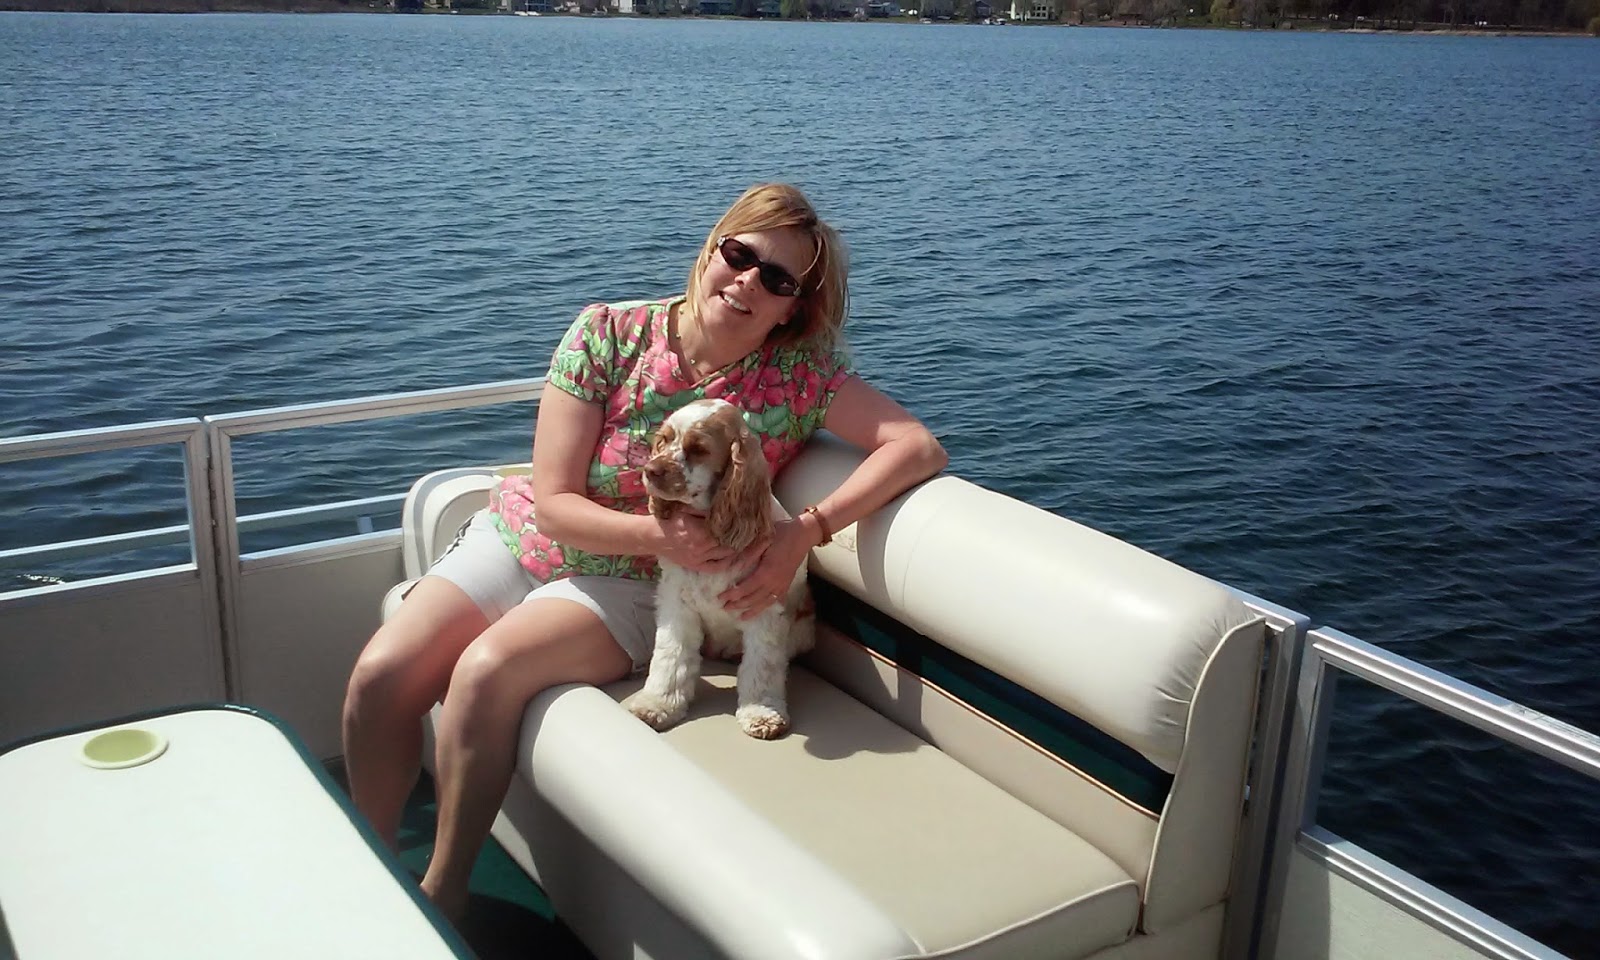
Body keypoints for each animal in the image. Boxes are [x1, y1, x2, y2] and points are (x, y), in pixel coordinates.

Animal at [621, 398, 815, 739]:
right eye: (664, 440)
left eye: (699, 448)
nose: (651, 471)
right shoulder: (677, 604)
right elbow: (670, 657)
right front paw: (658, 705)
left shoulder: (764, 610)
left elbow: (762, 667)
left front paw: (761, 713)